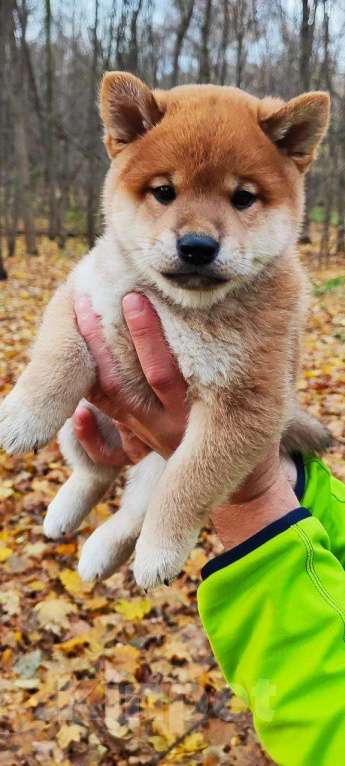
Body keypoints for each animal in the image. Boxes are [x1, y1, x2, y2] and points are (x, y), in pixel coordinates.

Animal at [0, 75, 330, 588]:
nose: (197, 246)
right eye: (164, 191)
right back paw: (65, 516)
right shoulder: (82, 294)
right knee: (94, 474)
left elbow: (189, 483)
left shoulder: (245, 405)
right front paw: (23, 415)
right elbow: (59, 356)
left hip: (153, 464)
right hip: (81, 421)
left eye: (242, 198)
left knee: (132, 509)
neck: (177, 306)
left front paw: (161, 549)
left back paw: (107, 551)